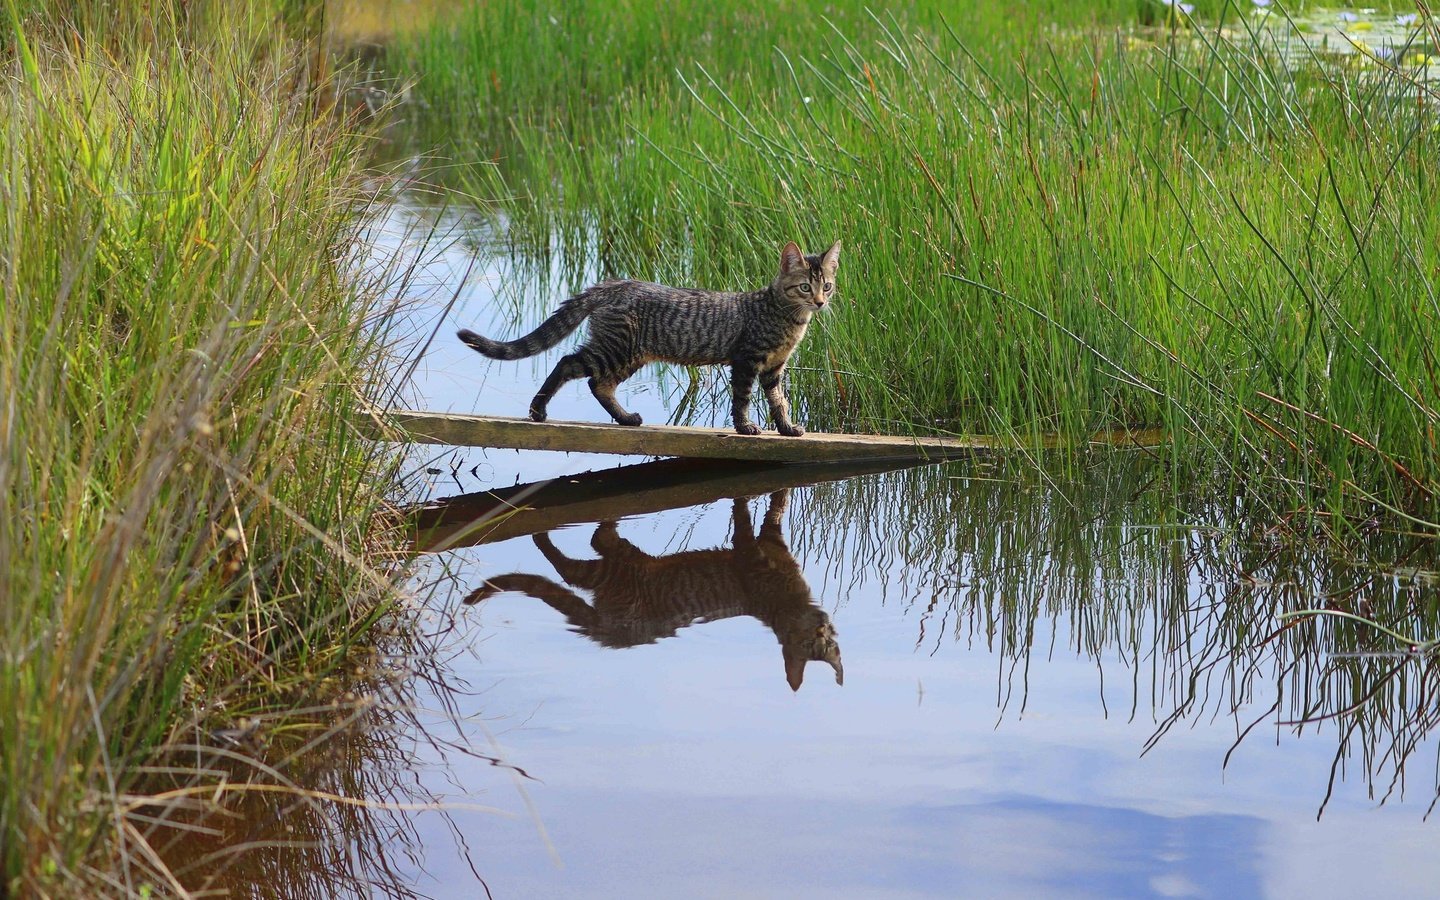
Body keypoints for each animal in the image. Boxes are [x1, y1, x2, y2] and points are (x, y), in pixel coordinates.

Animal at [460, 239, 840, 434]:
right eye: (805, 287)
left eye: (827, 286)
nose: (820, 302)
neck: (790, 319)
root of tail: (614, 284)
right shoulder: (746, 360)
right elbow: (743, 399)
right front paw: (746, 427)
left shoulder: (775, 368)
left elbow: (779, 401)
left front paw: (787, 427)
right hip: (615, 348)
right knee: (568, 363)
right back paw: (538, 409)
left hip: (630, 354)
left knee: (599, 384)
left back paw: (625, 418)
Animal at [460, 486, 840, 691]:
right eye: (808, 643)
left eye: (827, 644)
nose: (822, 627)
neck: (788, 601)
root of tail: (611, 632)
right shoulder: (750, 553)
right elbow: (746, 515)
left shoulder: (774, 540)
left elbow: (776, 508)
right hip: (618, 568)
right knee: (579, 557)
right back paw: (545, 533)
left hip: (613, 569)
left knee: (587, 553)